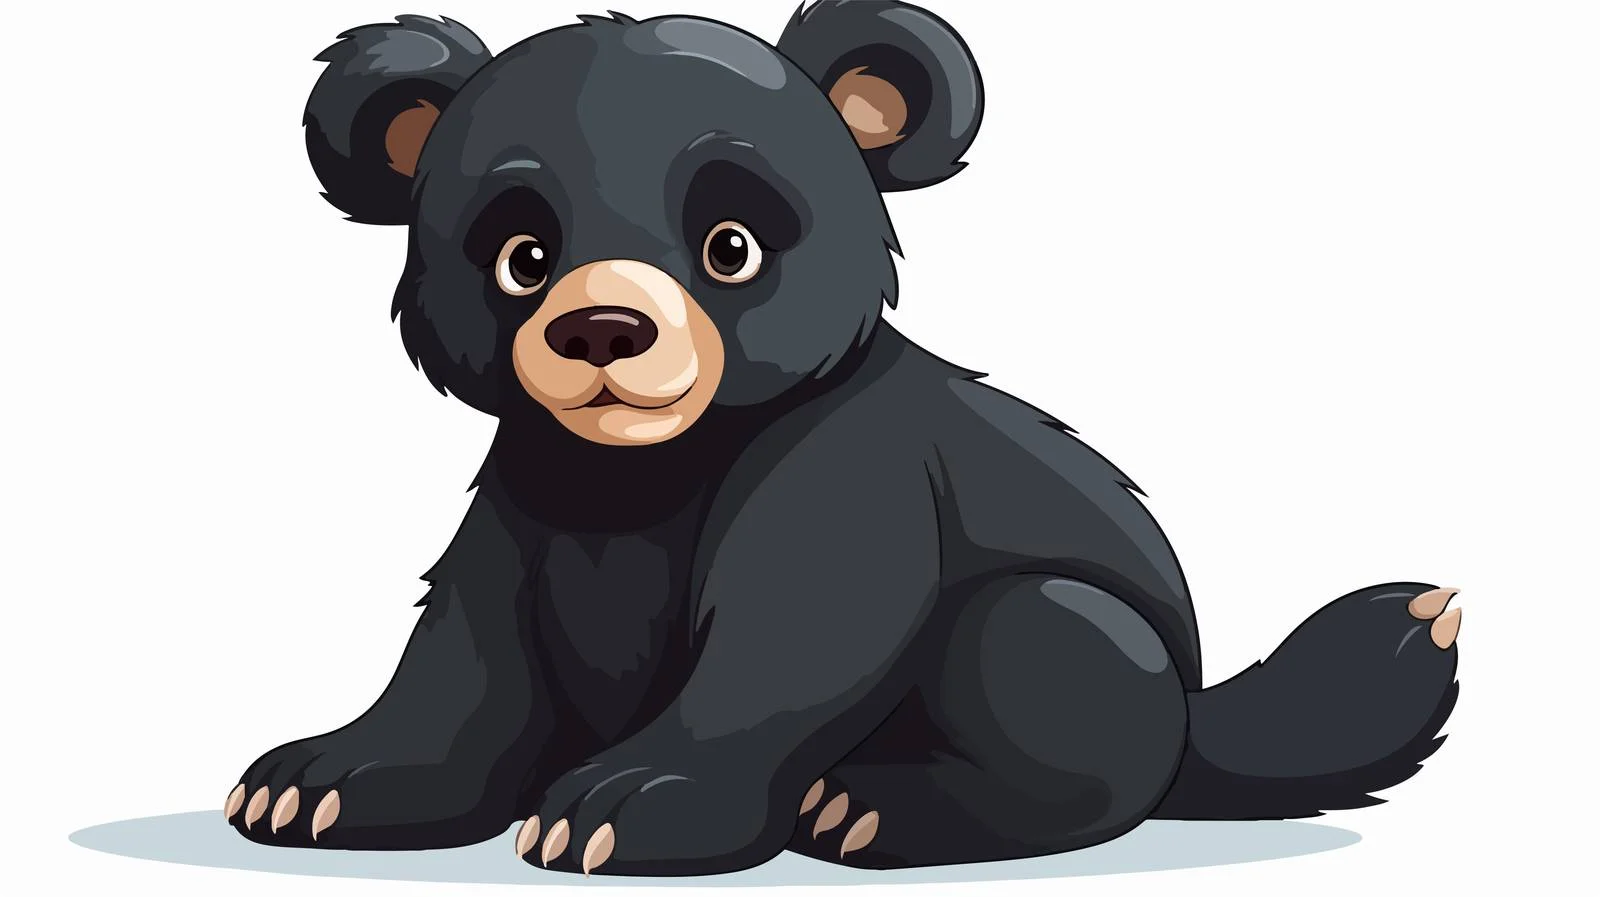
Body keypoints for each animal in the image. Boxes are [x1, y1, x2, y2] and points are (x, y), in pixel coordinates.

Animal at [226, 2, 1462, 877]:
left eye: (729, 244)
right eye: (521, 254)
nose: (603, 328)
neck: (640, 475)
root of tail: (1200, 720)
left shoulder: (845, 474)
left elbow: (792, 637)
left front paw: (632, 803)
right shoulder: (525, 495)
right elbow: (468, 657)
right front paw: (321, 780)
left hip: (1066, 637)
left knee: (1047, 665)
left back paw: (875, 807)